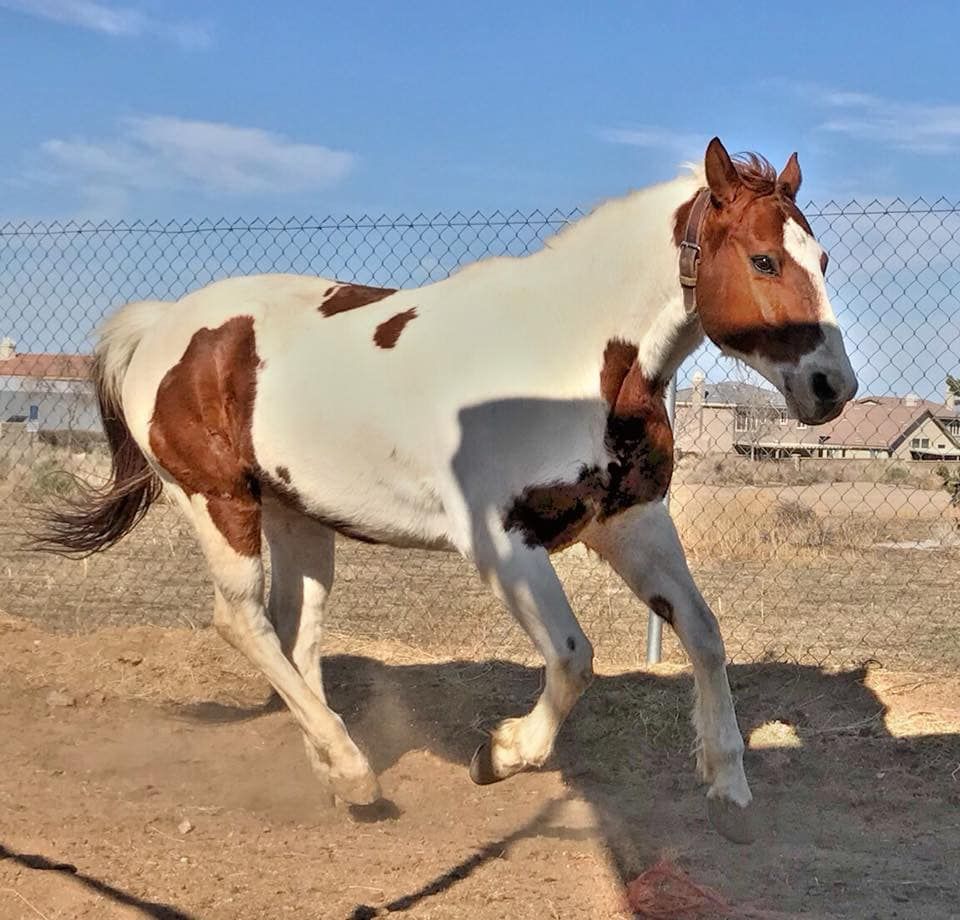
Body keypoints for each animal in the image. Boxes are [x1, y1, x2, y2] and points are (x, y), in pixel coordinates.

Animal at [40, 137, 858, 843]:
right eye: (762, 259)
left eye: (820, 257)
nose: (833, 387)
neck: (567, 356)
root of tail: (160, 327)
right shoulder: (502, 542)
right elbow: (573, 656)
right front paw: (500, 755)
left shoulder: (629, 523)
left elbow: (704, 633)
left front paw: (728, 785)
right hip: (218, 501)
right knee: (240, 621)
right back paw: (355, 773)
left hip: (297, 517)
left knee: (294, 633)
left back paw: (333, 774)